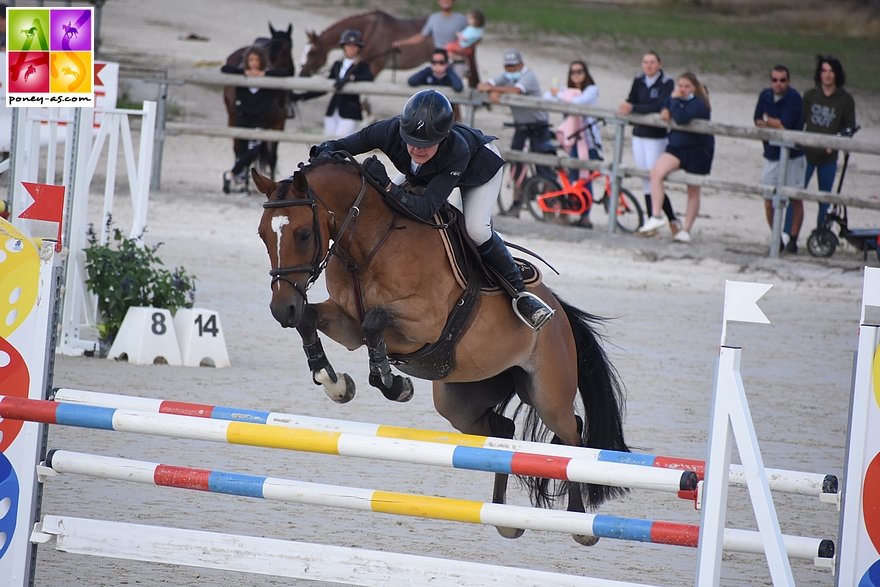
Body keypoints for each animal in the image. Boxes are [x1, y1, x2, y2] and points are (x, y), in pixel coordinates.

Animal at [222, 23, 294, 181]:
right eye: (268, 50)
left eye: (286, 50)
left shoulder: (279, 124)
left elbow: (272, 157)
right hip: (232, 117)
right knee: (238, 148)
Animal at [251, 162, 628, 548]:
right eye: (263, 235)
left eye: (303, 234)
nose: (282, 309)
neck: (366, 243)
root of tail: (559, 312)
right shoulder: (347, 324)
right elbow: (312, 320)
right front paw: (334, 382)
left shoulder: (424, 321)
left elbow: (375, 321)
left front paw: (393, 383)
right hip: (460, 402)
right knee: (503, 431)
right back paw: (504, 517)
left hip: (548, 394)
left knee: (572, 435)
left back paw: (579, 523)